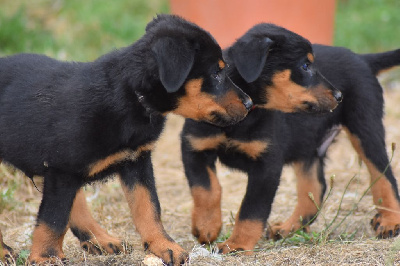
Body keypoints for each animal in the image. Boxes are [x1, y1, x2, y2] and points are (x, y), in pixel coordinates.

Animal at [0, 14, 252, 264]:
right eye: (217, 73)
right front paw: (46, 257)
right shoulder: (62, 169)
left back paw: (100, 239)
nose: (249, 103)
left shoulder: (136, 161)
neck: (131, 93)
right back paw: (6, 251)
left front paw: (163, 245)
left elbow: (149, 207)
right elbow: (53, 219)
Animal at [182, 23, 400, 254]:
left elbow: (251, 209)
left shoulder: (267, 166)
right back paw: (288, 228)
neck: (242, 117)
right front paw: (206, 227)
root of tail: (362, 58)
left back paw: (390, 221)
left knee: (384, 175)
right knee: (315, 188)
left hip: (365, 129)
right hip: (308, 147)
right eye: (305, 66)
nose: (339, 96)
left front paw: (237, 245)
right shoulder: (194, 148)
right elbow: (206, 190)